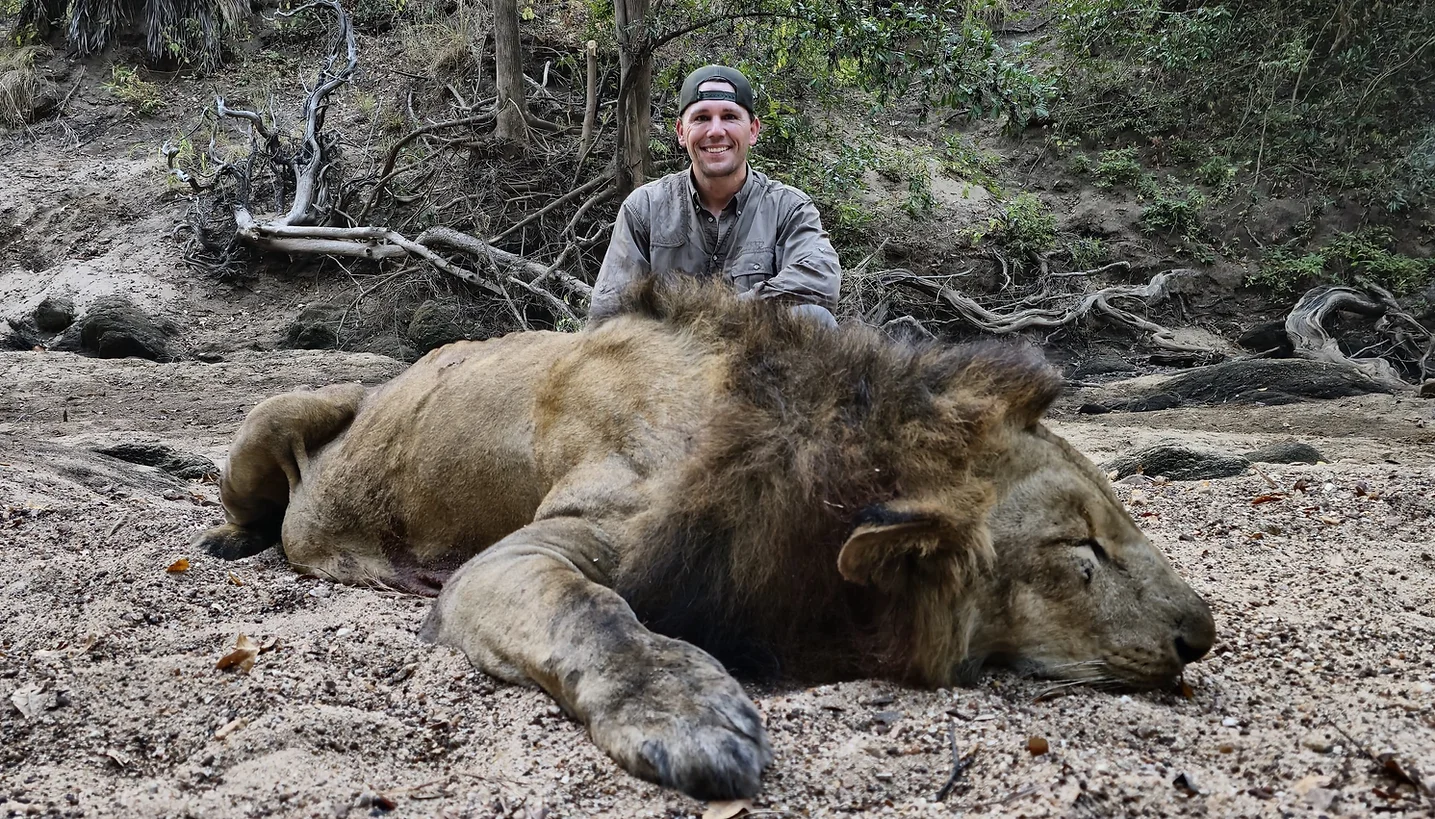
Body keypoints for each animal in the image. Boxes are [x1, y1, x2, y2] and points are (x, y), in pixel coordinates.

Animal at [195, 279, 1215, 800]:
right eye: (1079, 548)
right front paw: (689, 717)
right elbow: (594, 612)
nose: (1200, 635)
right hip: (287, 401)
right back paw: (227, 544)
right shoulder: (521, 556)